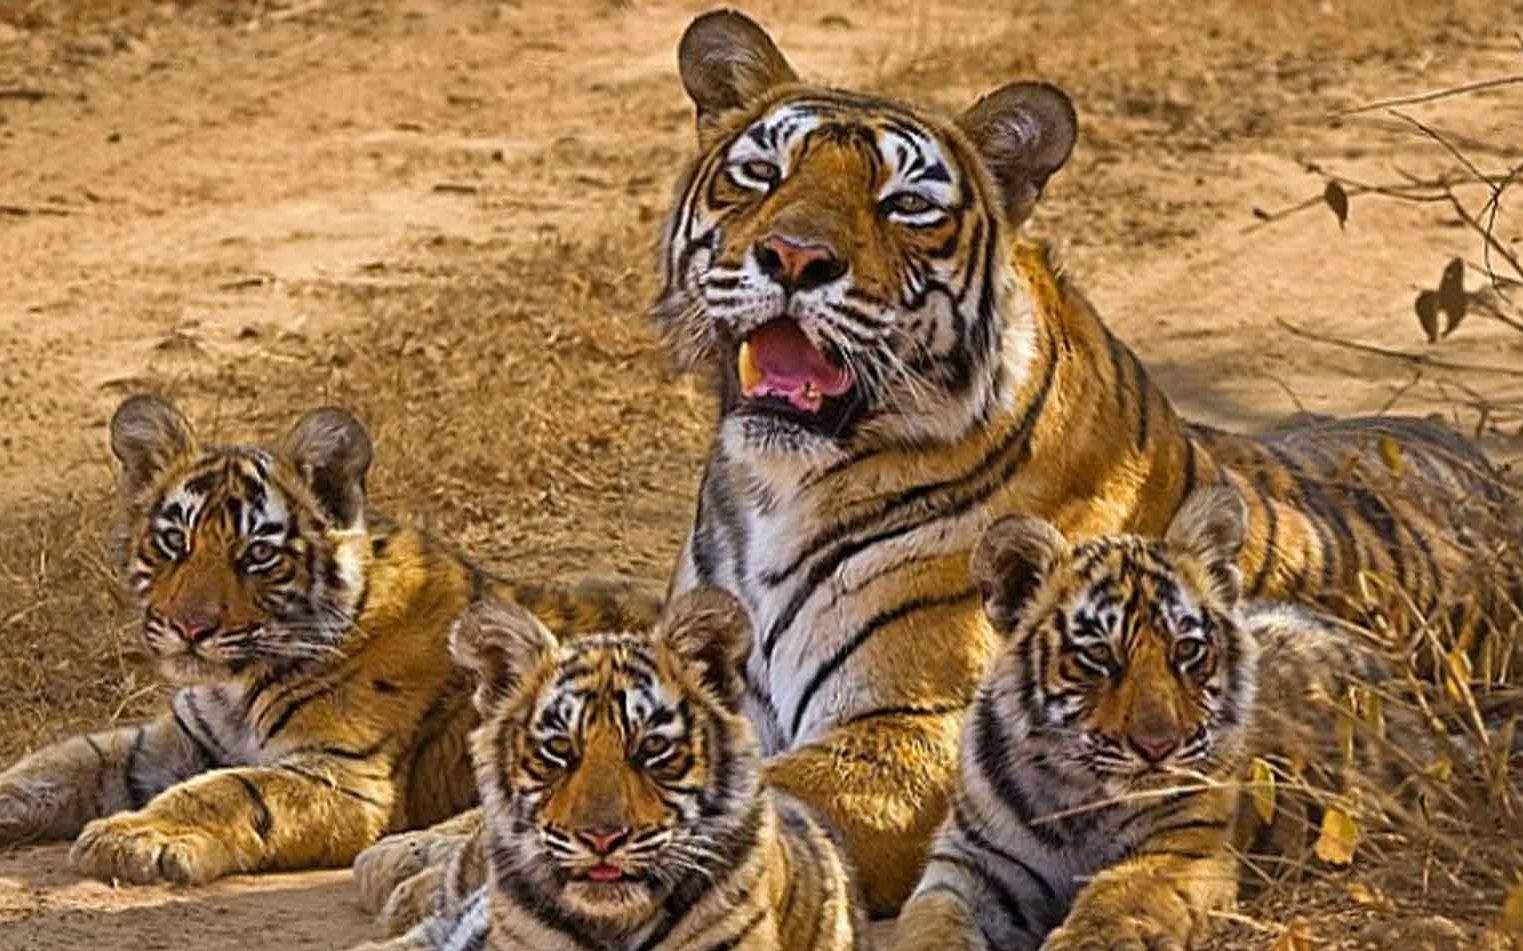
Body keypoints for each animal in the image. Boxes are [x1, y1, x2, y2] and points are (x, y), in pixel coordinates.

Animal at [0, 394, 663, 886]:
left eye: (257, 555)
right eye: (174, 542)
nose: (191, 628)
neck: (234, 684)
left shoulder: (344, 775)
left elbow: (231, 791)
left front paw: (134, 836)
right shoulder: (172, 740)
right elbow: (63, 762)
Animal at [892, 486, 1504, 951]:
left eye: (1186, 650)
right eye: (1099, 658)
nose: (1158, 746)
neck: (1078, 799)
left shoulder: (1181, 851)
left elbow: (1114, 900)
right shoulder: (971, 864)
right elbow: (929, 923)